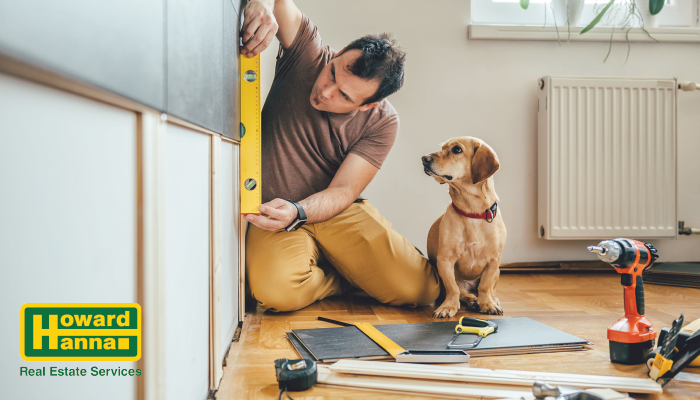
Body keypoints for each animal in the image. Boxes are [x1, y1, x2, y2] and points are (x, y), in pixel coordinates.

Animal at [424, 138, 506, 318]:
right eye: (442, 148)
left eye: (457, 150)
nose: (424, 158)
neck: (472, 212)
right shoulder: (445, 261)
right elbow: (453, 289)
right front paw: (448, 307)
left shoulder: (493, 261)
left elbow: (485, 286)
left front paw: (487, 303)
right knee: (463, 292)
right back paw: (472, 300)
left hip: (497, 271)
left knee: (489, 289)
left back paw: (491, 300)